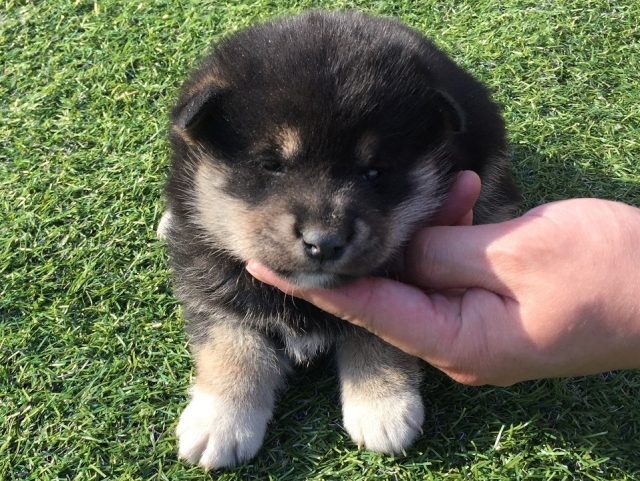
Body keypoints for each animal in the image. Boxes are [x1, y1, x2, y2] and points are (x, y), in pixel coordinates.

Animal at [159, 10, 520, 469]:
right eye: (271, 165)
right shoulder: (210, 278)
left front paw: (382, 405)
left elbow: (379, 334)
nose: (324, 242)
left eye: (374, 172)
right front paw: (220, 421)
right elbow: (230, 342)